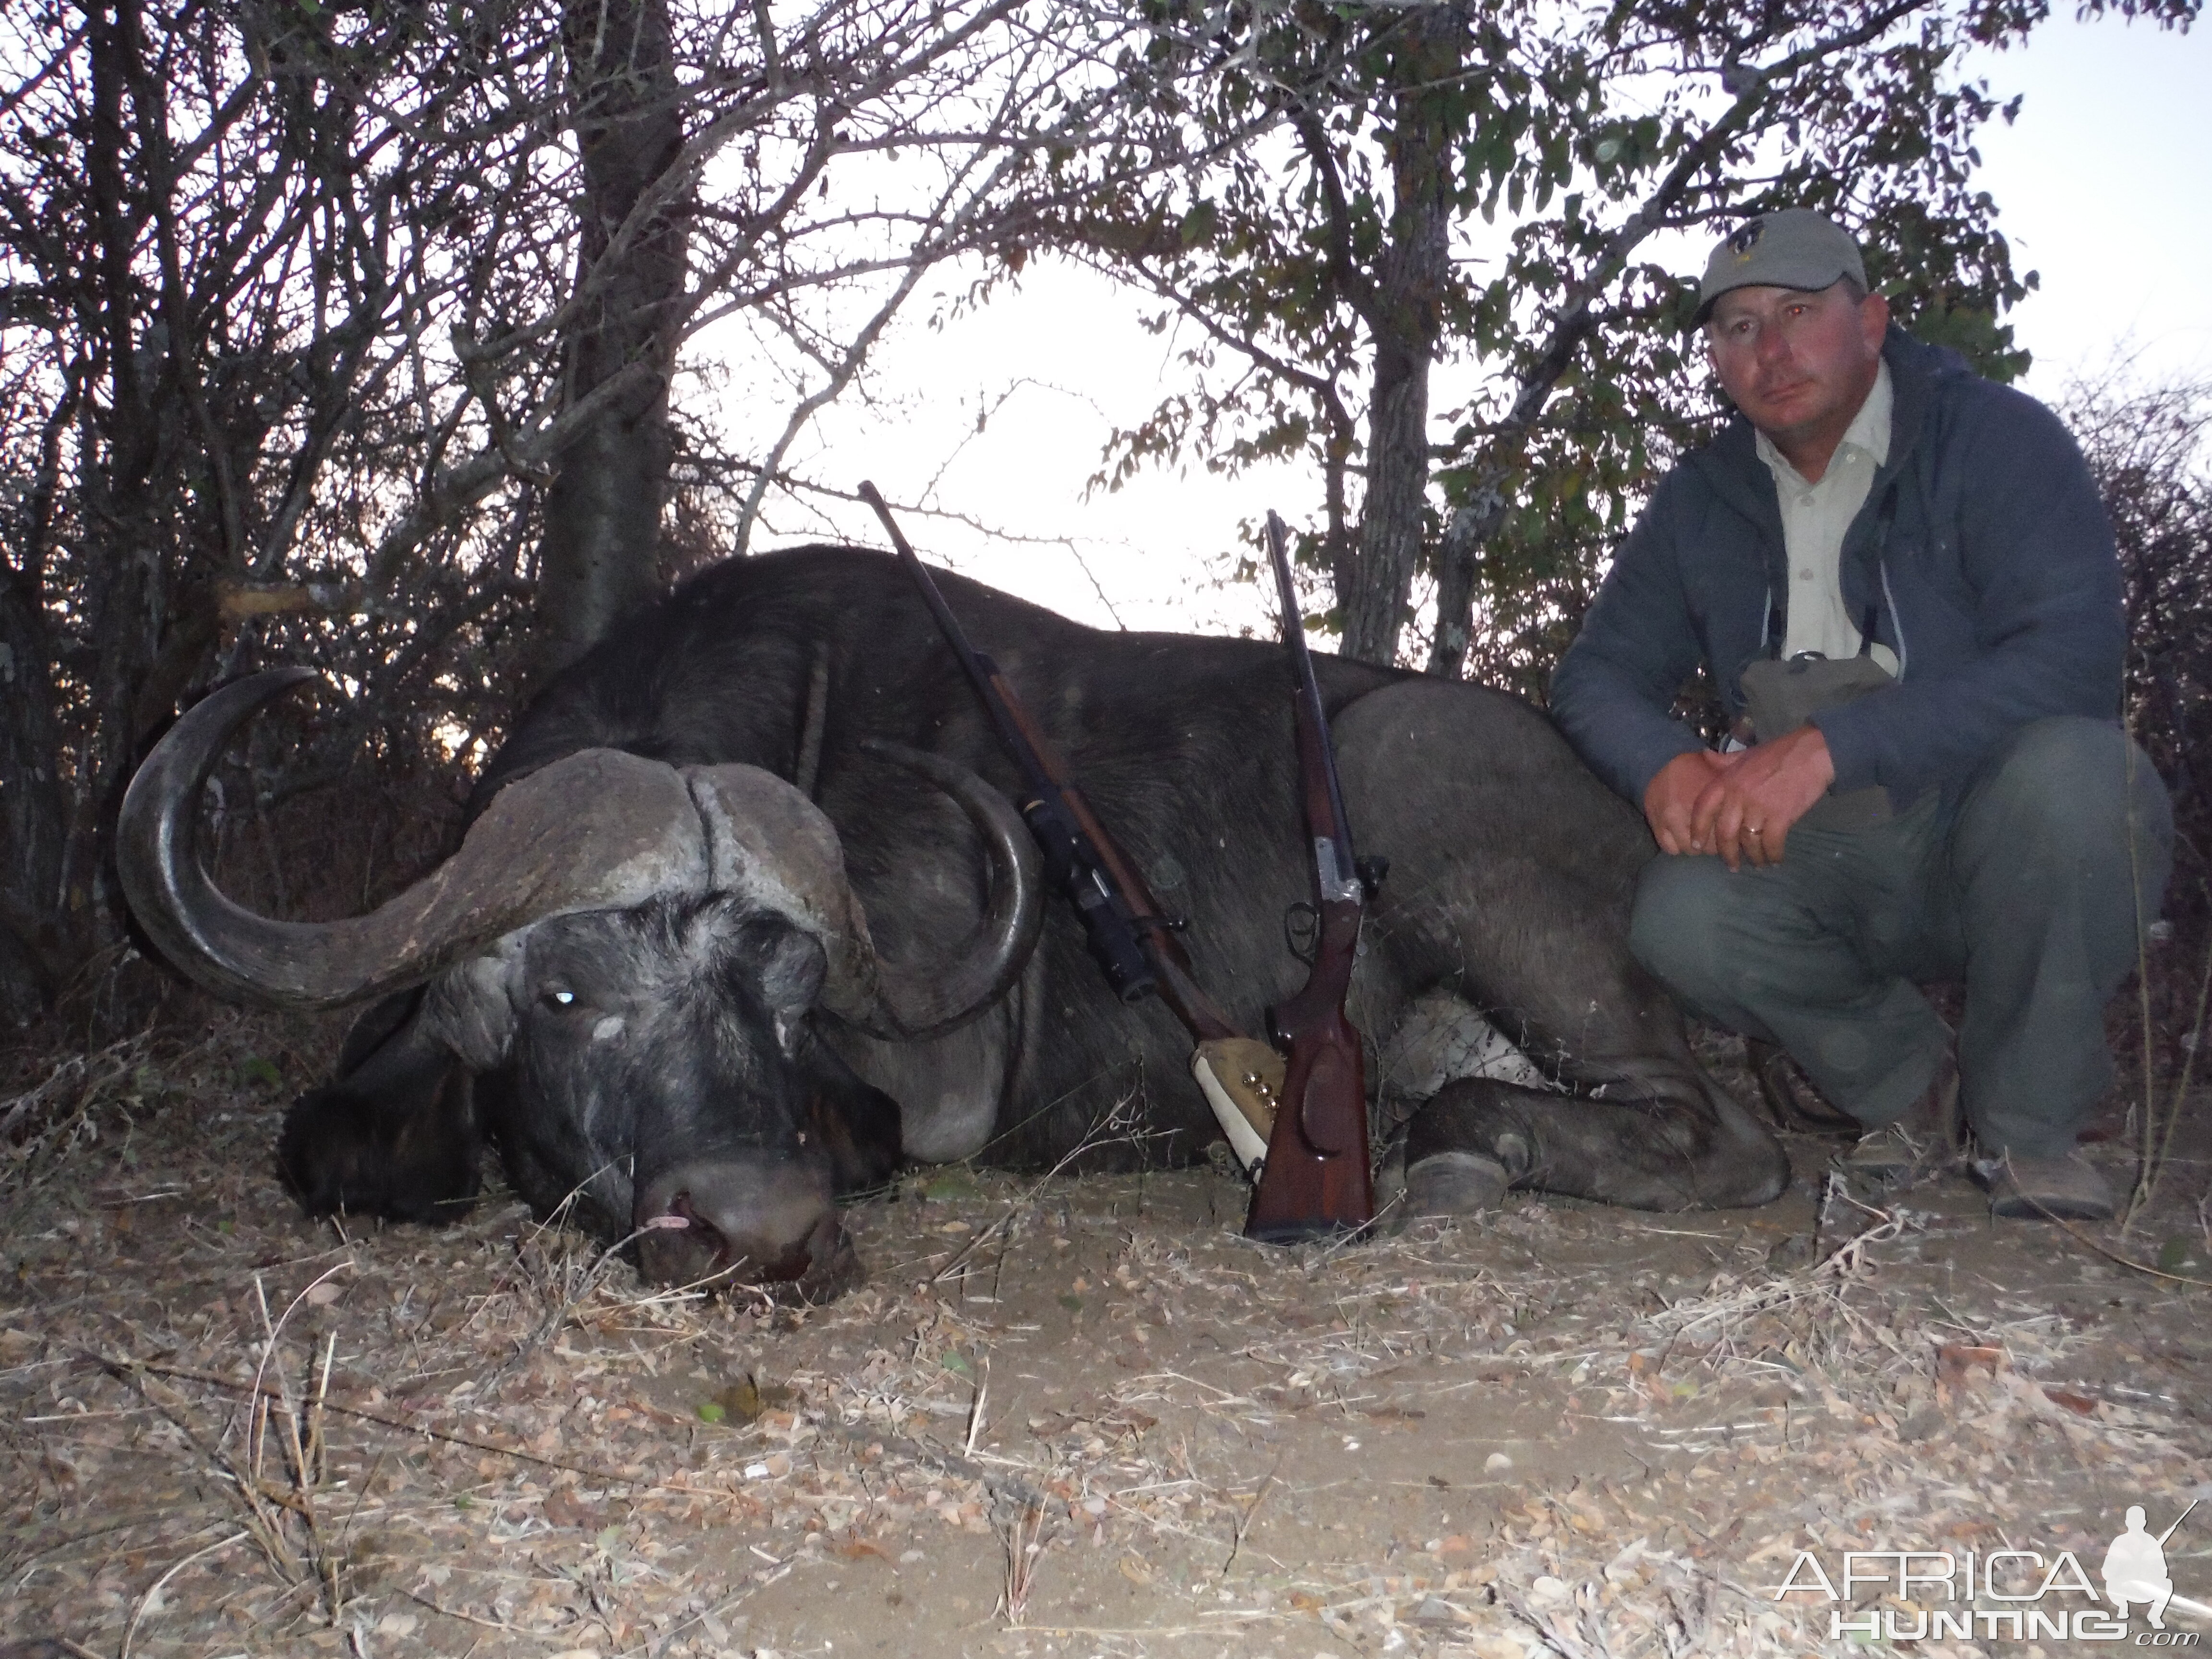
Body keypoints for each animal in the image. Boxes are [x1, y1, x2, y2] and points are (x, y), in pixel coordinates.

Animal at [117, 546, 1778, 1300]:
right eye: (567, 998)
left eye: (789, 1004)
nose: (757, 1227)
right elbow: (335, 1145)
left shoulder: (936, 1094)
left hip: (1439, 822)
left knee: (1711, 1137)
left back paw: (1454, 1152)